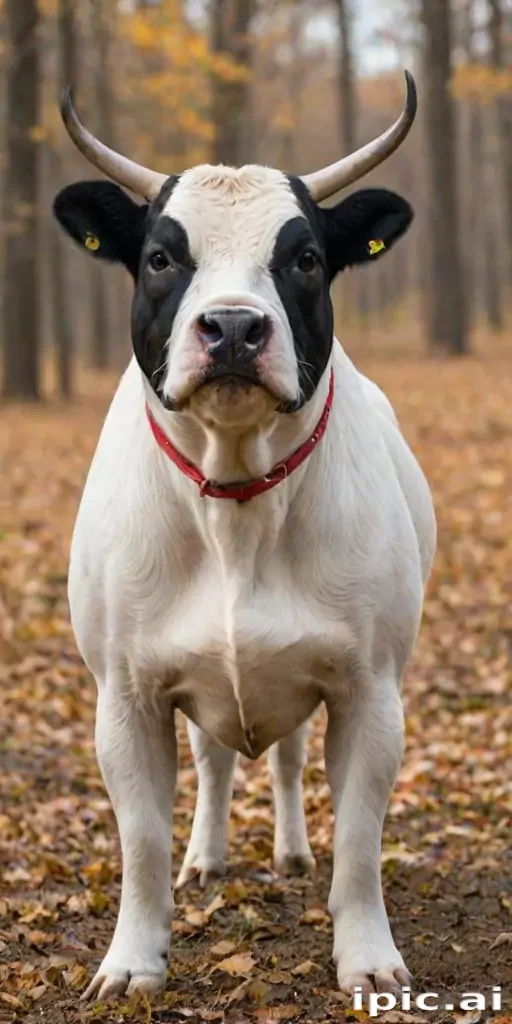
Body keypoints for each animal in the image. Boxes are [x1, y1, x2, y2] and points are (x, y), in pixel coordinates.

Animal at [53, 71, 436, 1004]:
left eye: (304, 259)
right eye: (162, 257)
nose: (231, 328)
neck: (234, 500)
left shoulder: (370, 688)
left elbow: (361, 839)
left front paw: (367, 955)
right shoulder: (125, 693)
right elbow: (141, 839)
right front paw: (132, 958)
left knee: (287, 761)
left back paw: (291, 852)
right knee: (218, 760)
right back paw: (208, 857)